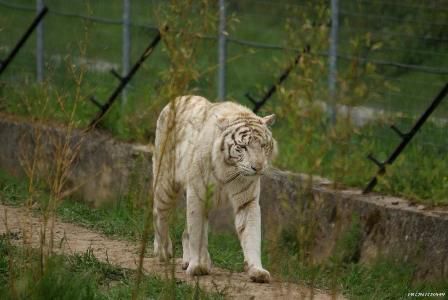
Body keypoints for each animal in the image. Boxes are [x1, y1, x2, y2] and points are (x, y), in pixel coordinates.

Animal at [152, 95, 274, 282]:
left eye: (263, 145)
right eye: (243, 147)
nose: (258, 167)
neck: (228, 168)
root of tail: (177, 99)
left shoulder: (247, 200)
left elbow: (251, 233)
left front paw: (257, 270)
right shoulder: (197, 194)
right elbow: (196, 232)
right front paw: (196, 267)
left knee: (187, 231)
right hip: (165, 183)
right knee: (160, 215)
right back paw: (163, 251)